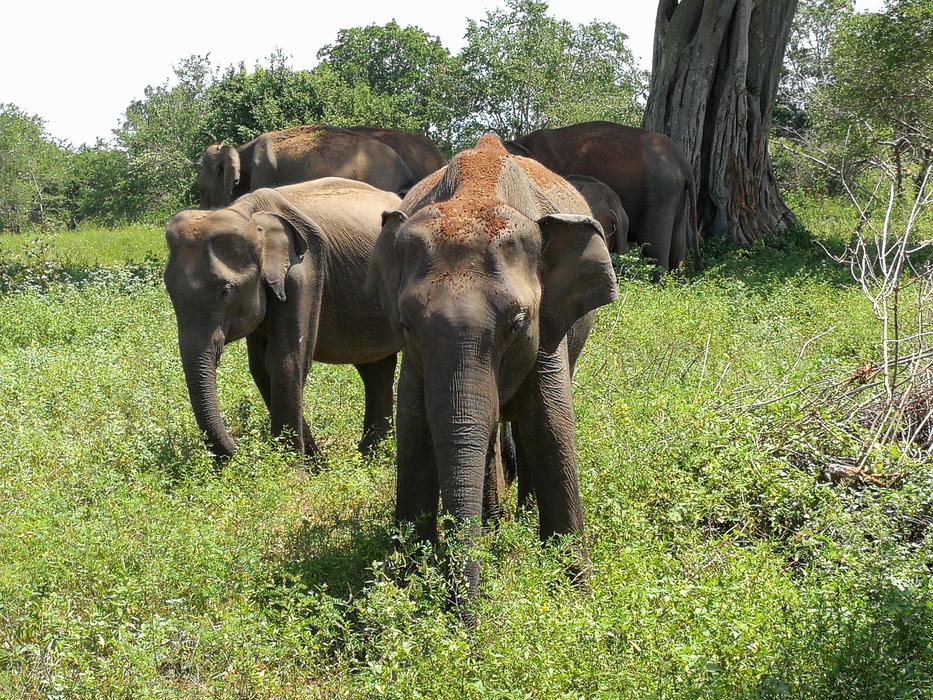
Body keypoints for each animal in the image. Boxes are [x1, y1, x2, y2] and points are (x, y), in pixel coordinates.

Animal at [164, 177, 404, 459]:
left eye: (225, 291)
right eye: (169, 290)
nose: (236, 448)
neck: (249, 215)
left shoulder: (305, 272)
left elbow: (286, 361)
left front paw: (292, 466)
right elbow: (260, 367)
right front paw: (312, 463)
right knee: (376, 368)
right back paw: (370, 455)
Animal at [366, 134, 618, 622]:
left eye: (517, 322)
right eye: (406, 325)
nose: (468, 626)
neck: (475, 193)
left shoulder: (548, 333)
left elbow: (551, 430)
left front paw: (578, 599)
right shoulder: (417, 362)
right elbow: (415, 432)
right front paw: (406, 588)